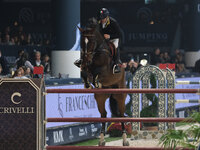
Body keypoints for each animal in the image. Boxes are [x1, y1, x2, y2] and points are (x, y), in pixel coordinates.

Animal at [77, 17, 129, 146]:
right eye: (82, 42)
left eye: (91, 42)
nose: (86, 60)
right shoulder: (85, 68)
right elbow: (84, 73)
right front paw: (88, 84)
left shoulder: (105, 71)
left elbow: (97, 73)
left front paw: (95, 82)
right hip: (100, 97)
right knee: (103, 114)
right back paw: (101, 140)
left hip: (120, 94)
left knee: (121, 115)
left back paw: (125, 139)